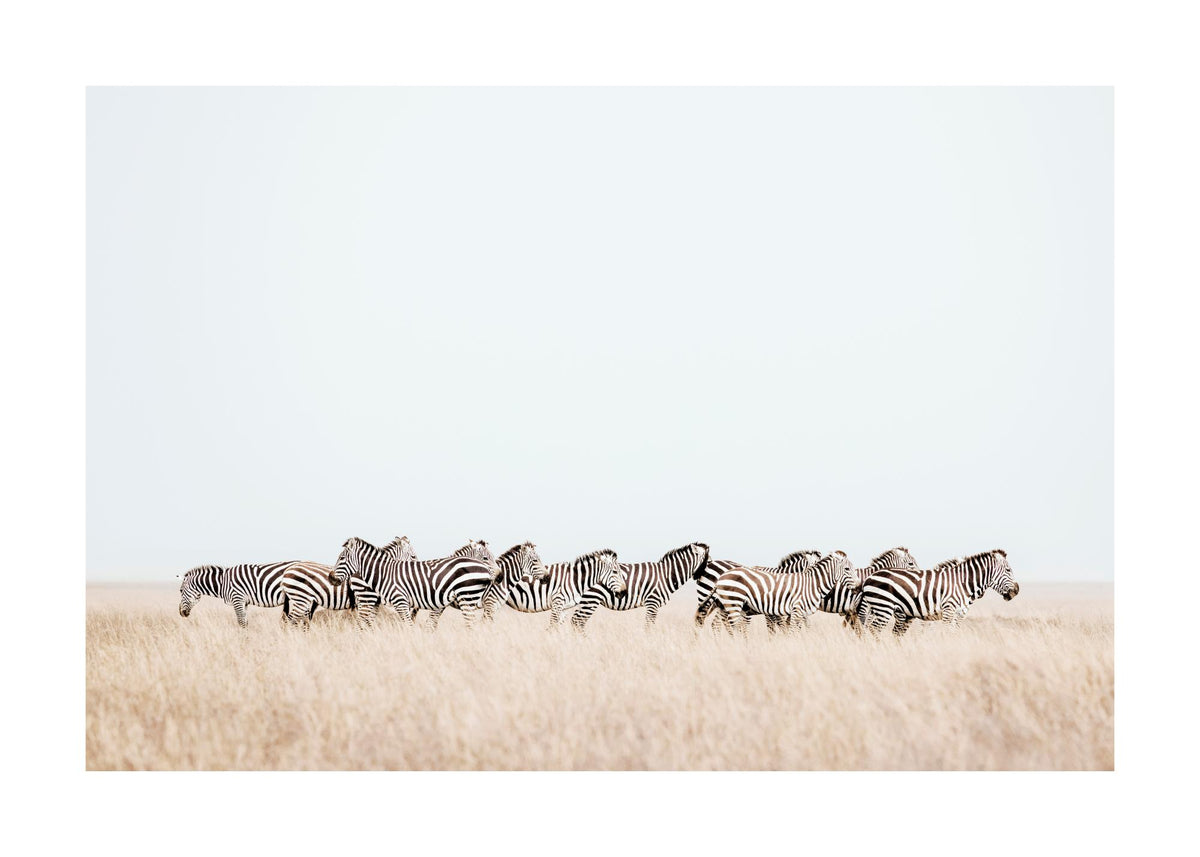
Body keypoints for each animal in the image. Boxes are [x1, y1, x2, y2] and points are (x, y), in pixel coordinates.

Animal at [329, 536, 498, 629]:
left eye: (341, 558)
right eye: (486, 557)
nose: (500, 576)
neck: (384, 571)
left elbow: (422, 625)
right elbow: (423, 624)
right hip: (368, 599)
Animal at [486, 548, 627, 625]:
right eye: (615, 572)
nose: (624, 592)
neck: (573, 579)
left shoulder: (564, 607)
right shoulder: (557, 602)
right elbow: (552, 627)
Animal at [571, 542, 710, 631]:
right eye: (707, 561)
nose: (702, 578)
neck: (667, 574)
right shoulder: (653, 602)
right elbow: (648, 627)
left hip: (585, 601)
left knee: (575, 621)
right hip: (592, 599)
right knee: (578, 622)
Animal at [712, 551, 856, 636]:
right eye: (847, 569)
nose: (857, 587)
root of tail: (722, 576)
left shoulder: (798, 613)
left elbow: (798, 629)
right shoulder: (794, 610)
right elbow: (789, 630)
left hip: (726, 605)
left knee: (720, 624)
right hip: (733, 603)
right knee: (731, 625)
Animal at [855, 549, 1019, 637]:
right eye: (1008, 570)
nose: (1016, 591)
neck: (962, 583)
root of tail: (869, 577)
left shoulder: (959, 613)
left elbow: (953, 633)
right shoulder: (948, 609)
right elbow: (945, 632)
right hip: (884, 607)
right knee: (873, 629)